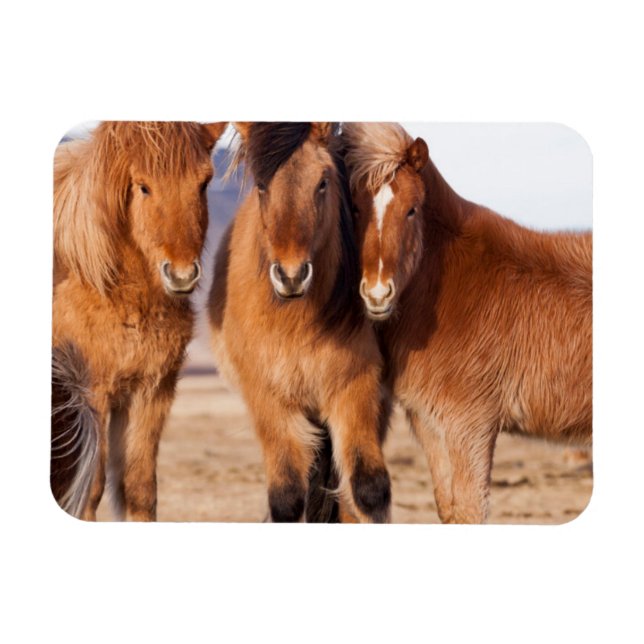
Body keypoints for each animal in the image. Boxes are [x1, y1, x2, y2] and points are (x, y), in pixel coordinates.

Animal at [52, 121, 227, 520]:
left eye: (204, 183)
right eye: (143, 186)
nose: (181, 274)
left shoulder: (151, 390)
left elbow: (140, 489)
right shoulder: (93, 392)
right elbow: (91, 488)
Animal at [208, 122, 391, 523]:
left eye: (323, 182)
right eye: (261, 185)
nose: (291, 276)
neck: (295, 323)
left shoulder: (356, 387)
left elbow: (368, 489)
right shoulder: (268, 398)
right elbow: (287, 497)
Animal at [341, 122, 592, 524]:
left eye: (411, 210)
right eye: (354, 208)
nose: (378, 294)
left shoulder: (471, 427)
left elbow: (471, 510)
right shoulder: (430, 424)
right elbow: (450, 508)